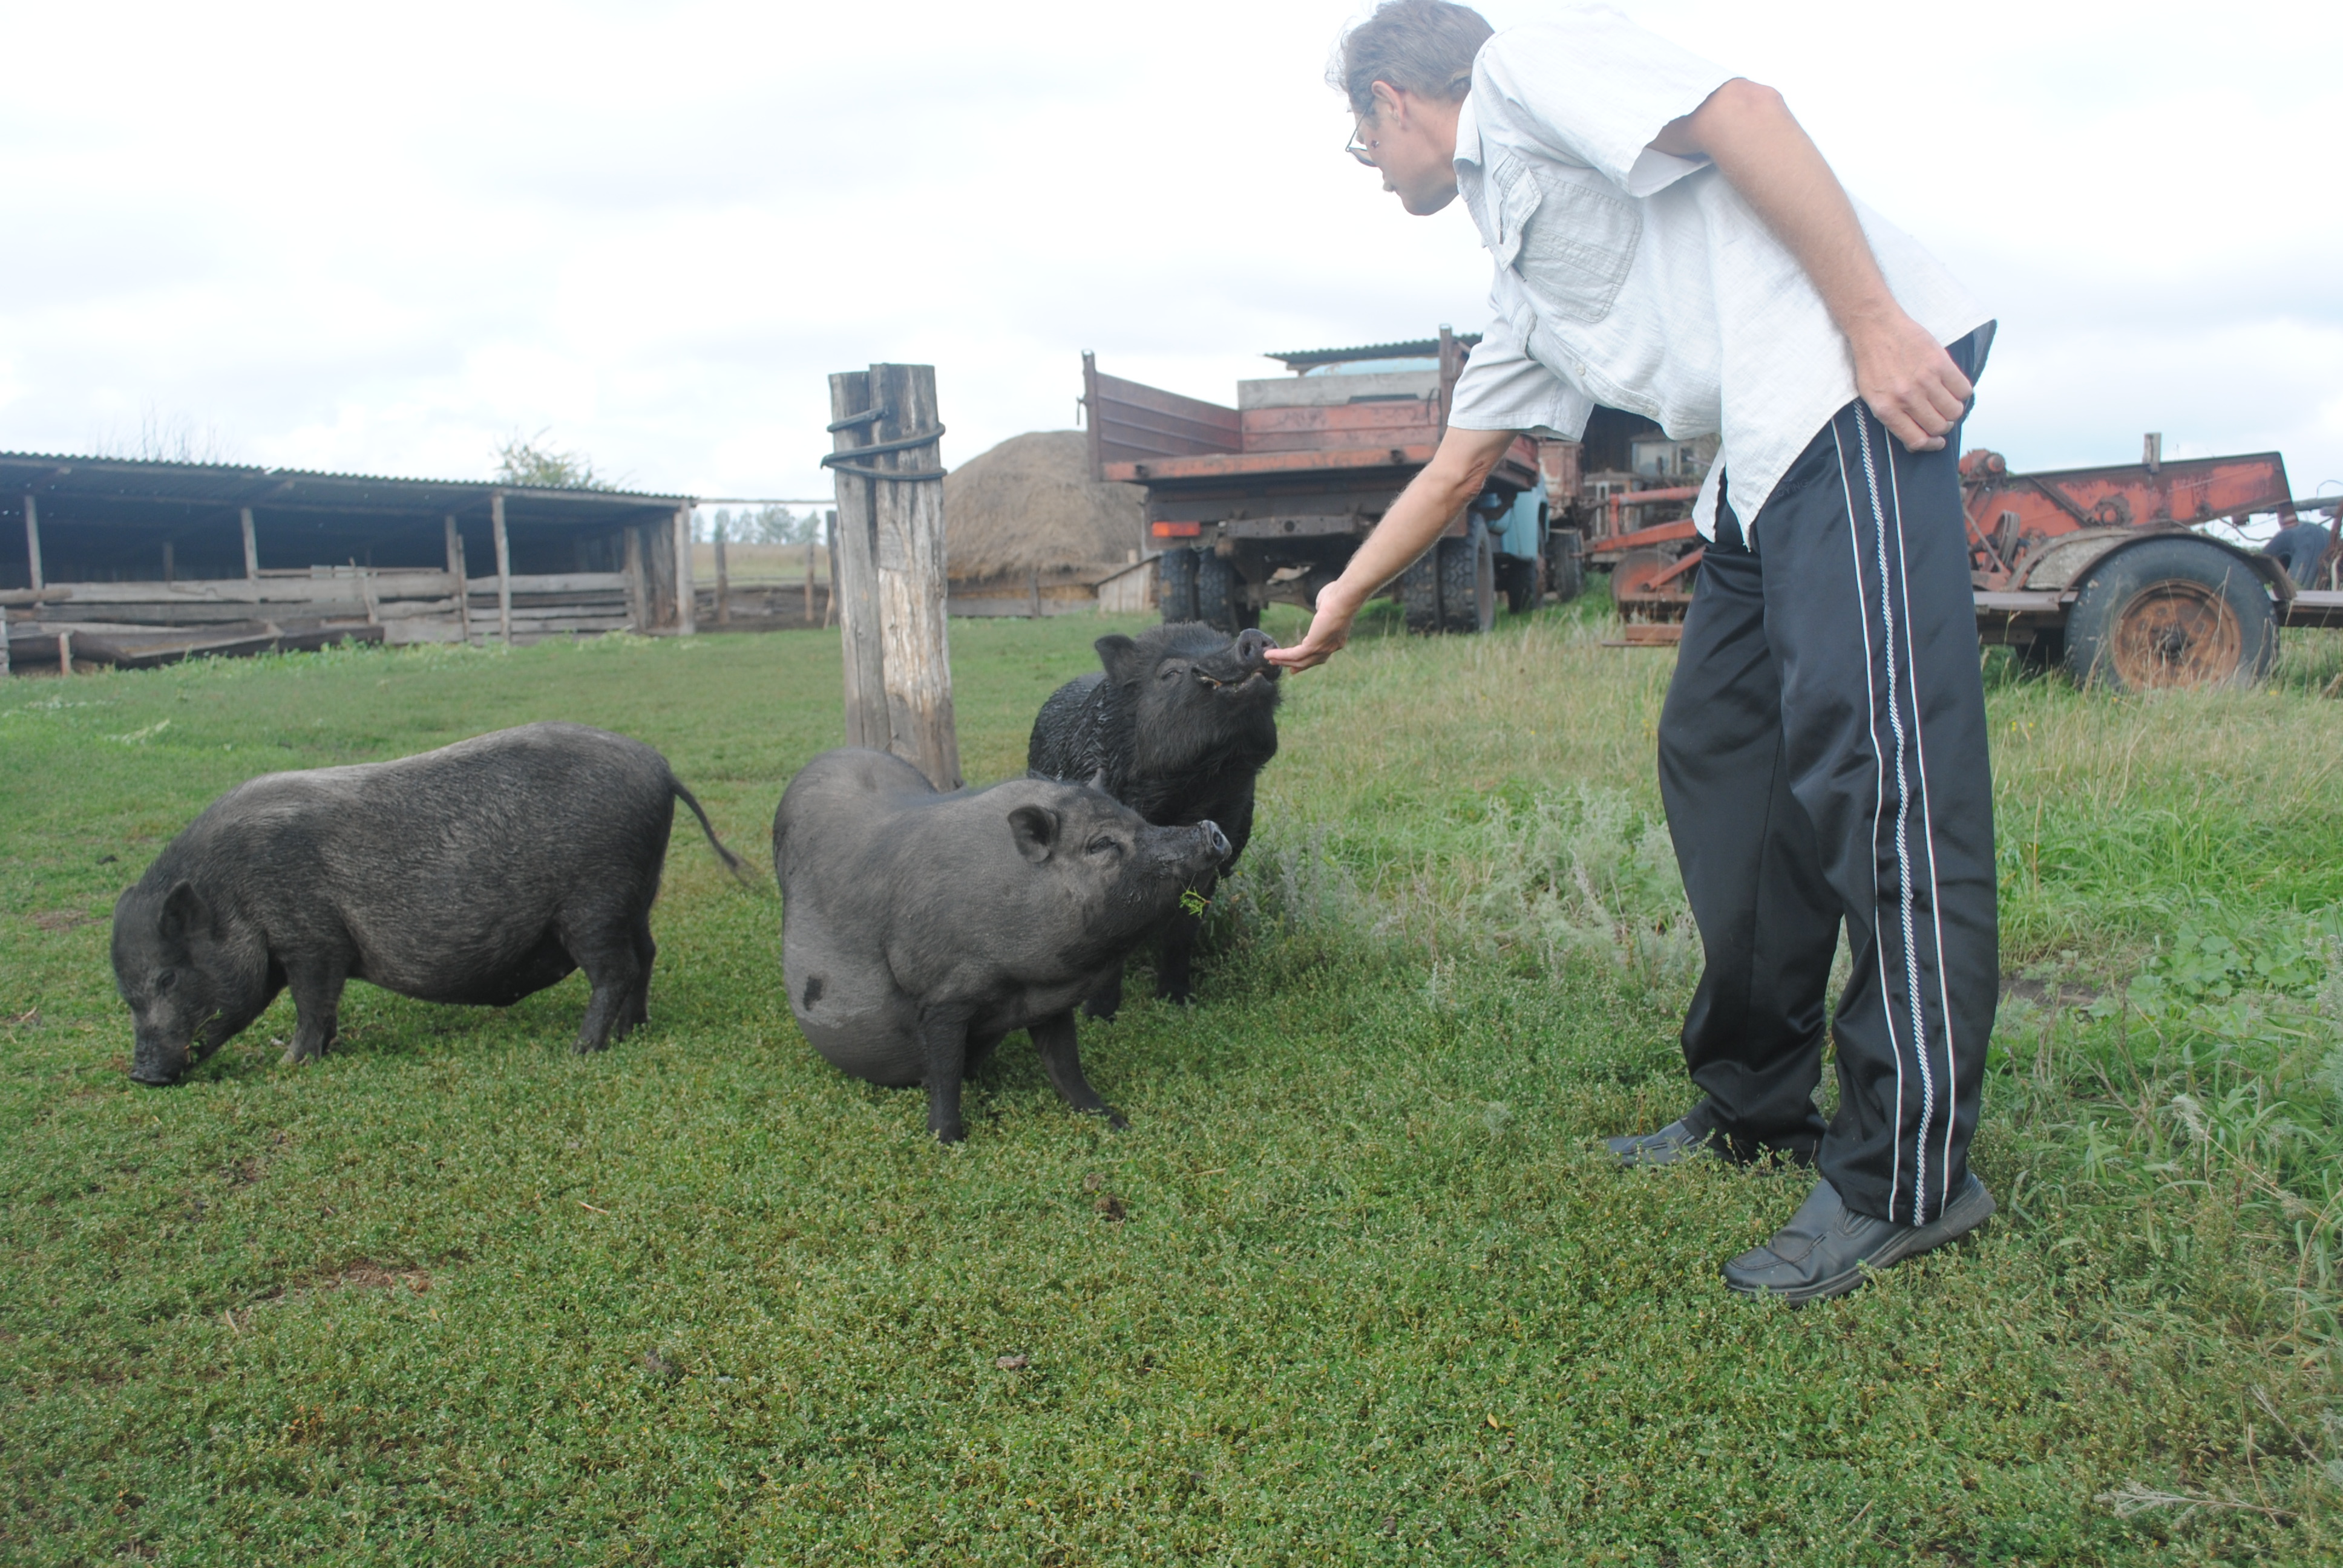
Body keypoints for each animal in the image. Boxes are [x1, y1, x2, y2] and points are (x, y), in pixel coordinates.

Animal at [111, 717, 740, 1082]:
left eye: (166, 977)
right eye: (125, 993)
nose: (141, 1075)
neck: (233, 893)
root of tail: (660, 768)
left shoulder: (311, 939)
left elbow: (312, 1002)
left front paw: (289, 1064)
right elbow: (322, 1008)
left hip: (595, 900)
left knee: (616, 969)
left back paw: (580, 1050)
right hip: (635, 895)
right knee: (647, 956)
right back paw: (633, 1033)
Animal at [778, 745, 1237, 1138]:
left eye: (1139, 820)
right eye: (1102, 843)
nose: (1211, 829)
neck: (1021, 981)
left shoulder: (1049, 1004)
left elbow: (1067, 1067)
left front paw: (1115, 1122)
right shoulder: (939, 996)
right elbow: (945, 1073)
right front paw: (947, 1141)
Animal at [1026, 618, 1283, 1008]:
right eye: (1170, 672)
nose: (1253, 636)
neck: (1187, 793)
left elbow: (1183, 932)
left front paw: (1178, 1003)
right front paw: (1102, 1015)